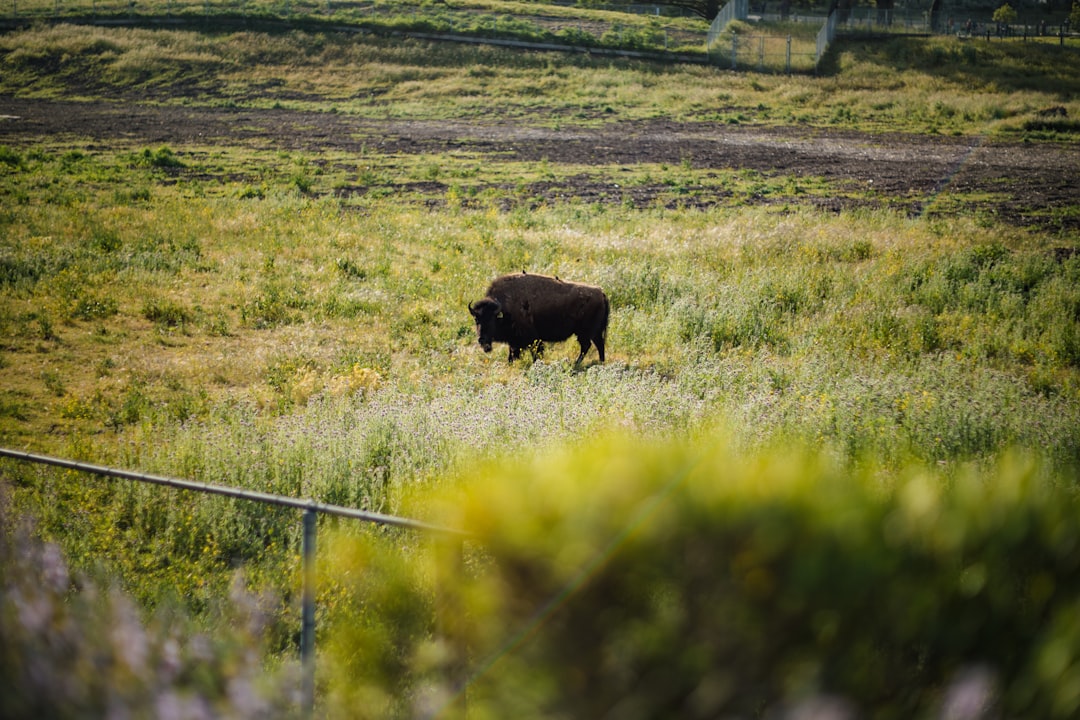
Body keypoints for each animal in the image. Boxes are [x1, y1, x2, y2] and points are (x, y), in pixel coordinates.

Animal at [468, 272, 609, 364]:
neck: (504, 307)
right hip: (593, 332)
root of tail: (601, 292)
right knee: (599, 344)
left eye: (490, 319)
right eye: (476, 319)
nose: (481, 340)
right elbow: (512, 354)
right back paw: (600, 362)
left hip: (585, 332)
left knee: (587, 345)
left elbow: (535, 352)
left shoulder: (532, 339)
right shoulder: (514, 341)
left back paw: (577, 363)